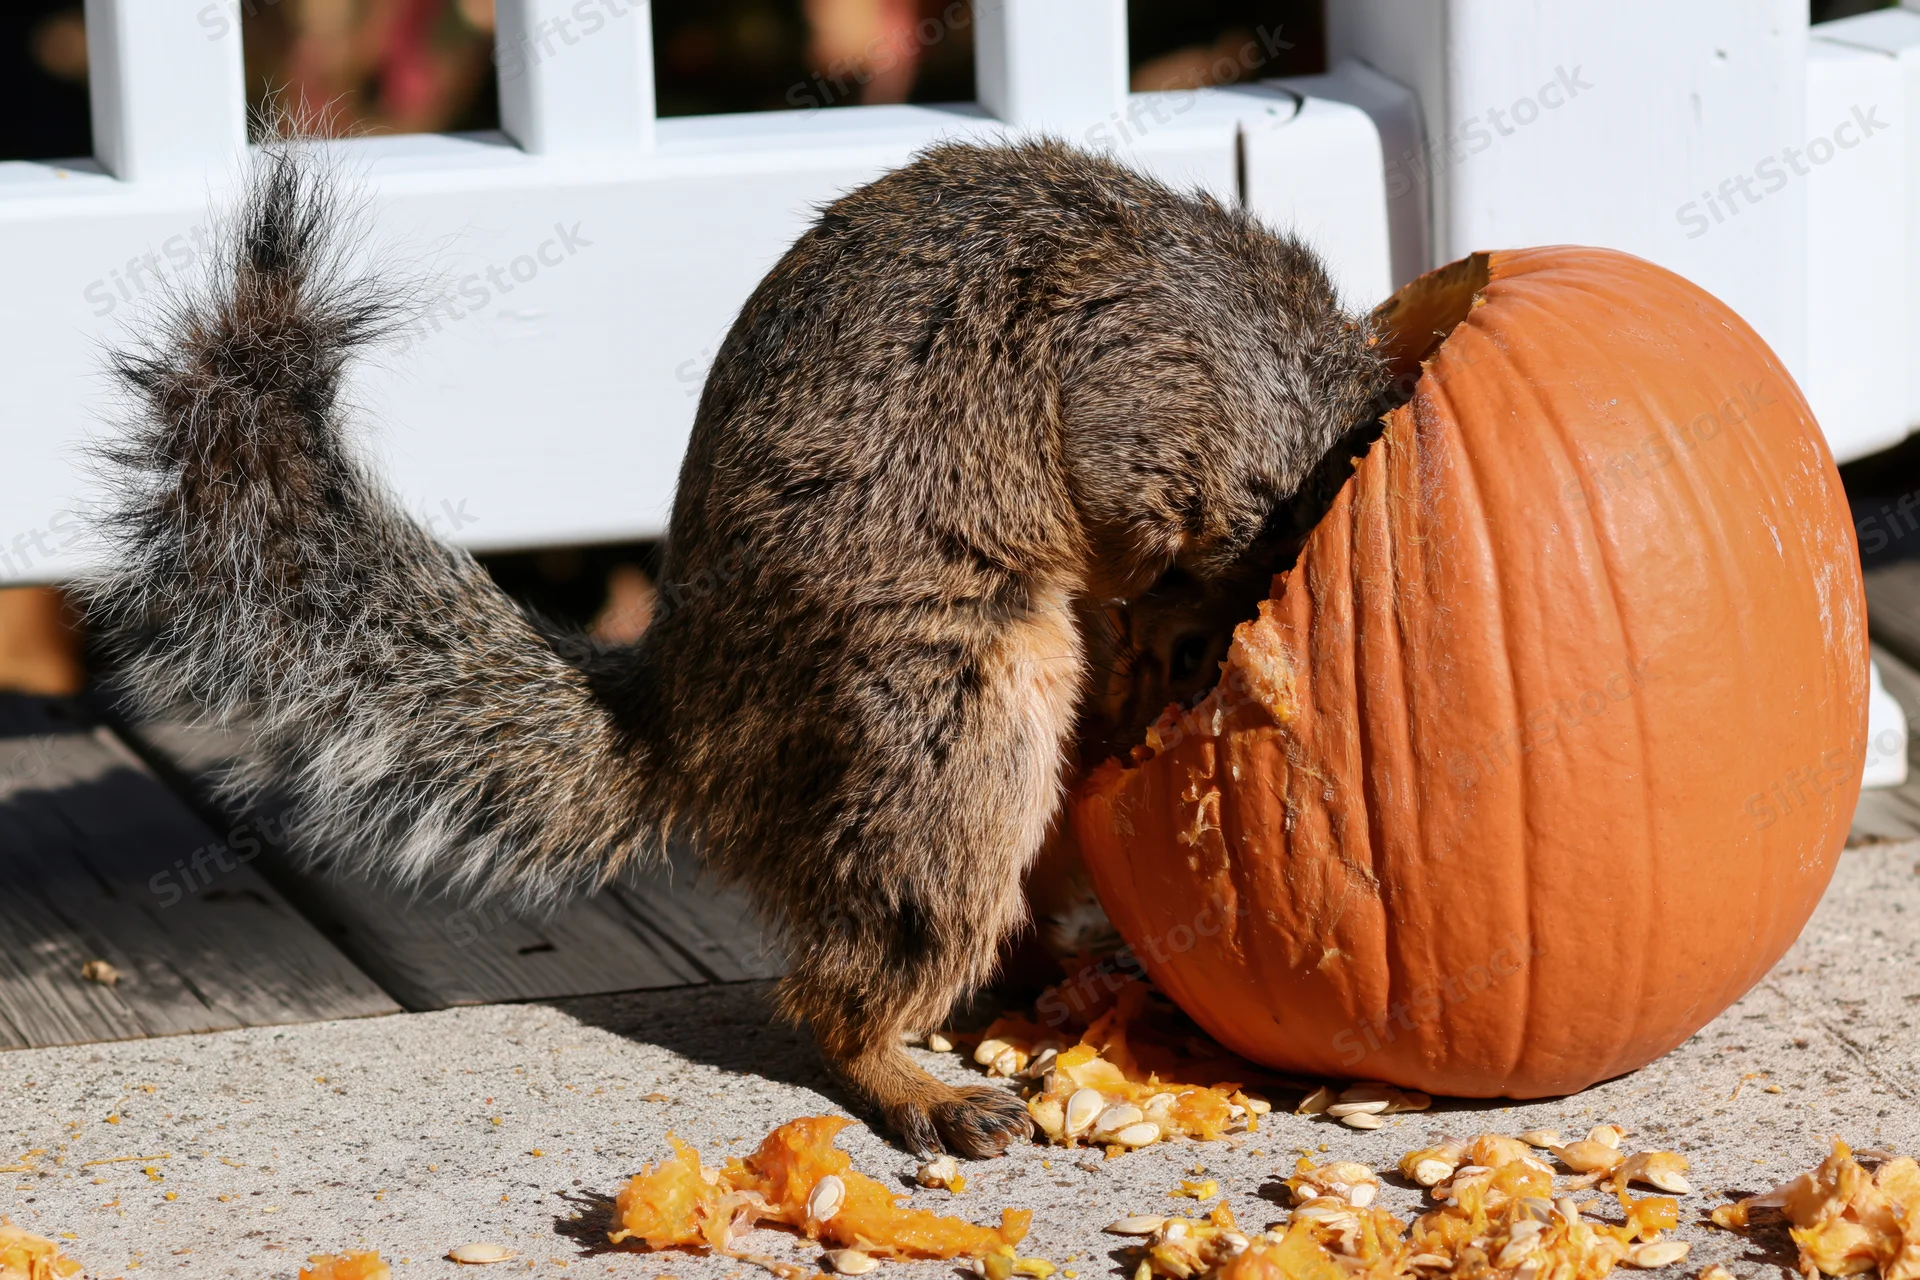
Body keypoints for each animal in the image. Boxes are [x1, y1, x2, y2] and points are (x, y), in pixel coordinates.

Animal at [86, 136, 1389, 1159]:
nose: (1200, 666)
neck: (1269, 366)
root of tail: (693, 734)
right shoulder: (1137, 387)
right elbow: (1135, 527)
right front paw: (1162, 637)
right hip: (948, 720)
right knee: (840, 986)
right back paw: (917, 1082)